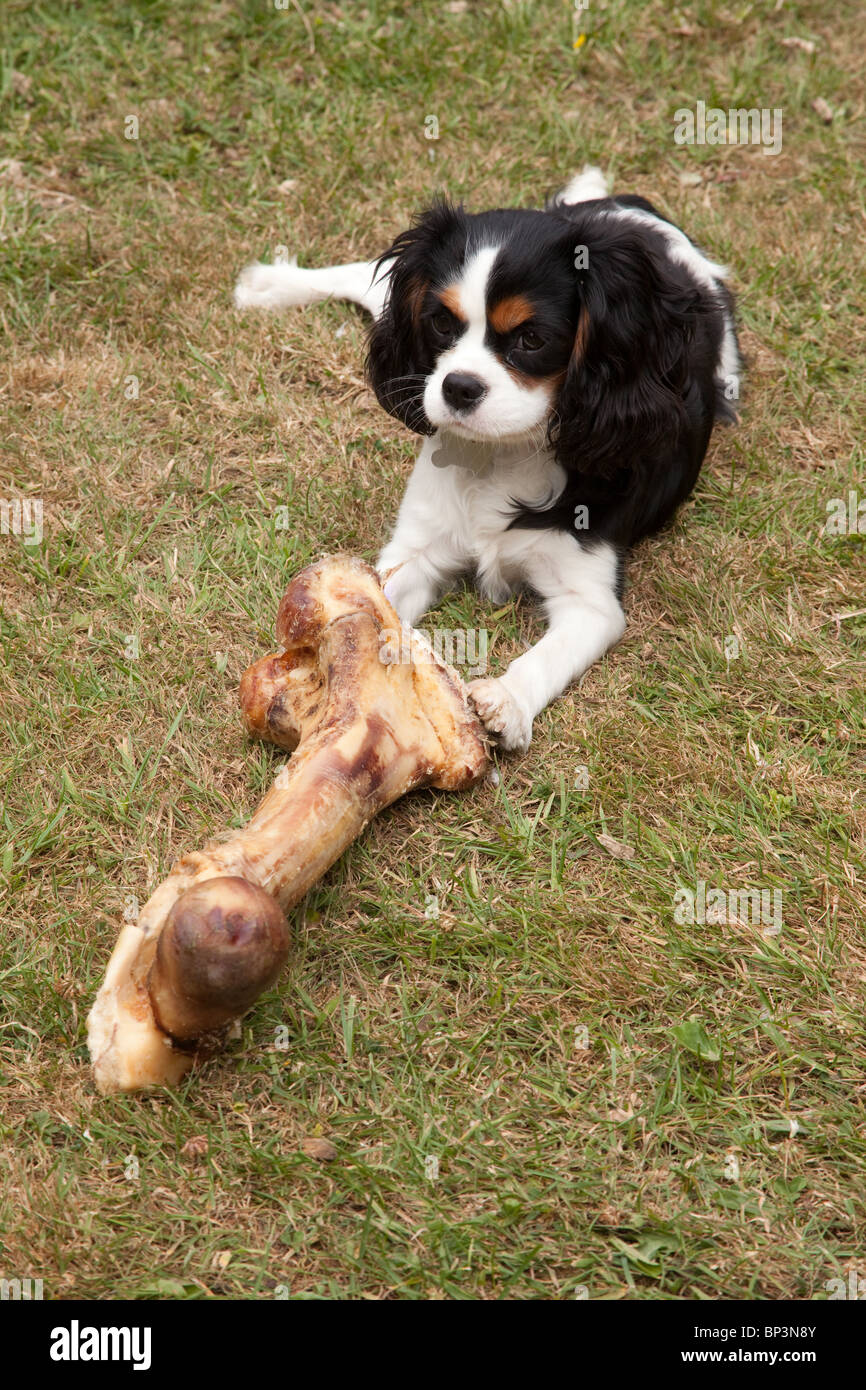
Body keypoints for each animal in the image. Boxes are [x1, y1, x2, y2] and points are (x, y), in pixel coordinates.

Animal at [234, 168, 739, 756]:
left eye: (532, 338)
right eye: (440, 324)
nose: (458, 386)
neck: (502, 453)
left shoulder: (590, 599)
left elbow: (548, 655)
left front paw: (506, 702)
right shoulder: (417, 549)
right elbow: (378, 601)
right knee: (364, 280)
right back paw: (270, 284)